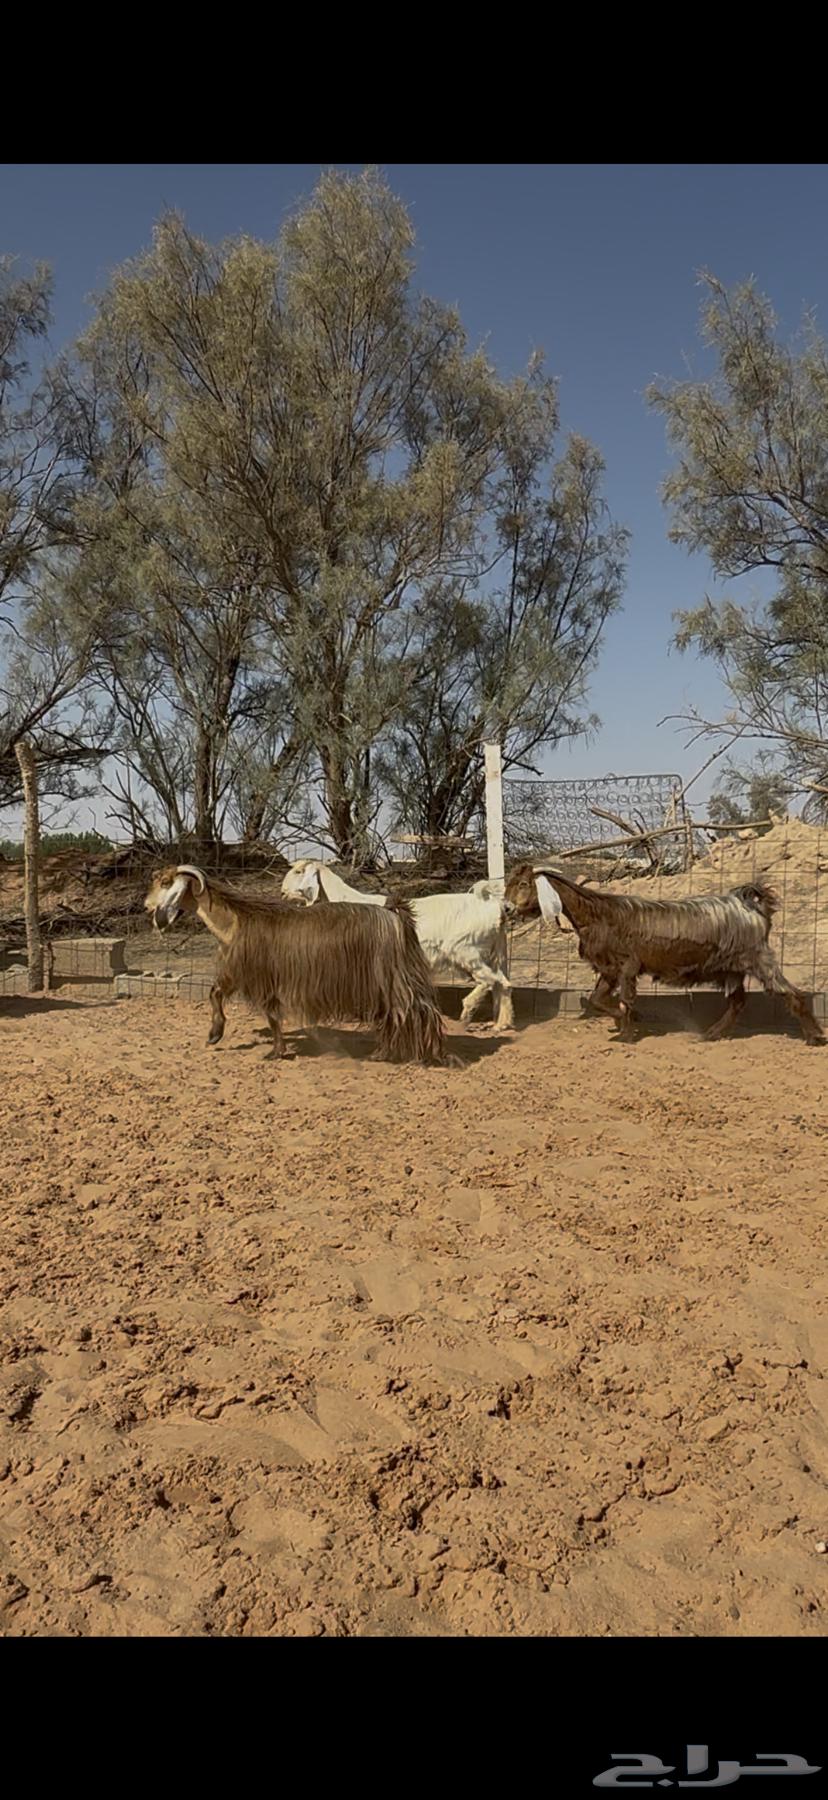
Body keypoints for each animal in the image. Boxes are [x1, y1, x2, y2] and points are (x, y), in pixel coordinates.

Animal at [144, 865, 449, 1065]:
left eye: (166, 882)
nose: (147, 906)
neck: (235, 921)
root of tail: (395, 915)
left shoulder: (257, 975)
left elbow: (268, 1014)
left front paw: (271, 1051)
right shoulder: (243, 973)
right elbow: (219, 994)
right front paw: (216, 1035)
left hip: (389, 975)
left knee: (414, 1008)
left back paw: (418, 1053)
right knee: (397, 1011)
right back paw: (386, 1051)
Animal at [281, 858, 515, 1029]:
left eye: (299, 871)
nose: (282, 891)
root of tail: (495, 907)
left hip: (466, 951)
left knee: (491, 980)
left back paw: (468, 1011)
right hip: (486, 953)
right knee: (503, 983)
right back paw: (501, 1024)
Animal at [504, 863, 824, 1045]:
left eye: (523, 884)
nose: (506, 909)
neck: (598, 914)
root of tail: (750, 904)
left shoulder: (627, 966)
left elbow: (625, 999)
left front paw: (628, 1032)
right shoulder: (609, 969)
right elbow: (596, 1000)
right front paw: (626, 1023)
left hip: (758, 958)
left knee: (792, 995)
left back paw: (815, 1037)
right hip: (733, 968)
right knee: (737, 1002)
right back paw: (710, 1035)